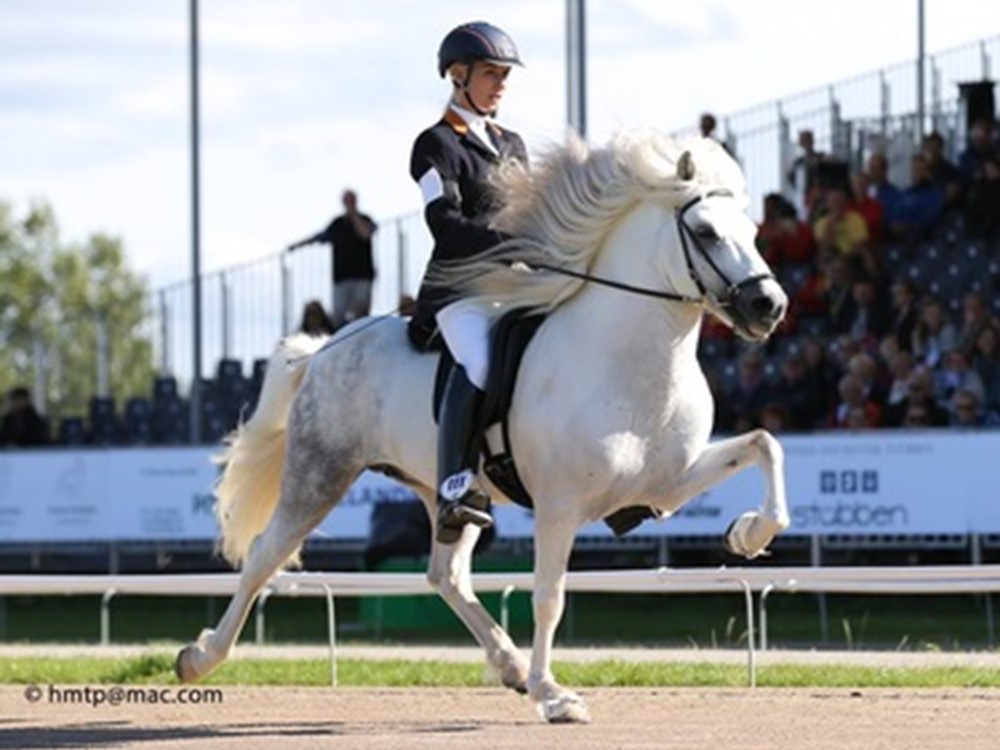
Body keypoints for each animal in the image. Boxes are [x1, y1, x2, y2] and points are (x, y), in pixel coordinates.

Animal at [178, 132, 788, 724]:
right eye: (705, 232)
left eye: (755, 232)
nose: (769, 305)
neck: (633, 361)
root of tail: (324, 348)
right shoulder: (560, 506)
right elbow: (548, 597)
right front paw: (553, 696)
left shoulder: (665, 485)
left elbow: (765, 444)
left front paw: (748, 533)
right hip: (320, 474)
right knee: (265, 555)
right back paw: (198, 658)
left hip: (448, 493)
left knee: (445, 574)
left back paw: (509, 664)